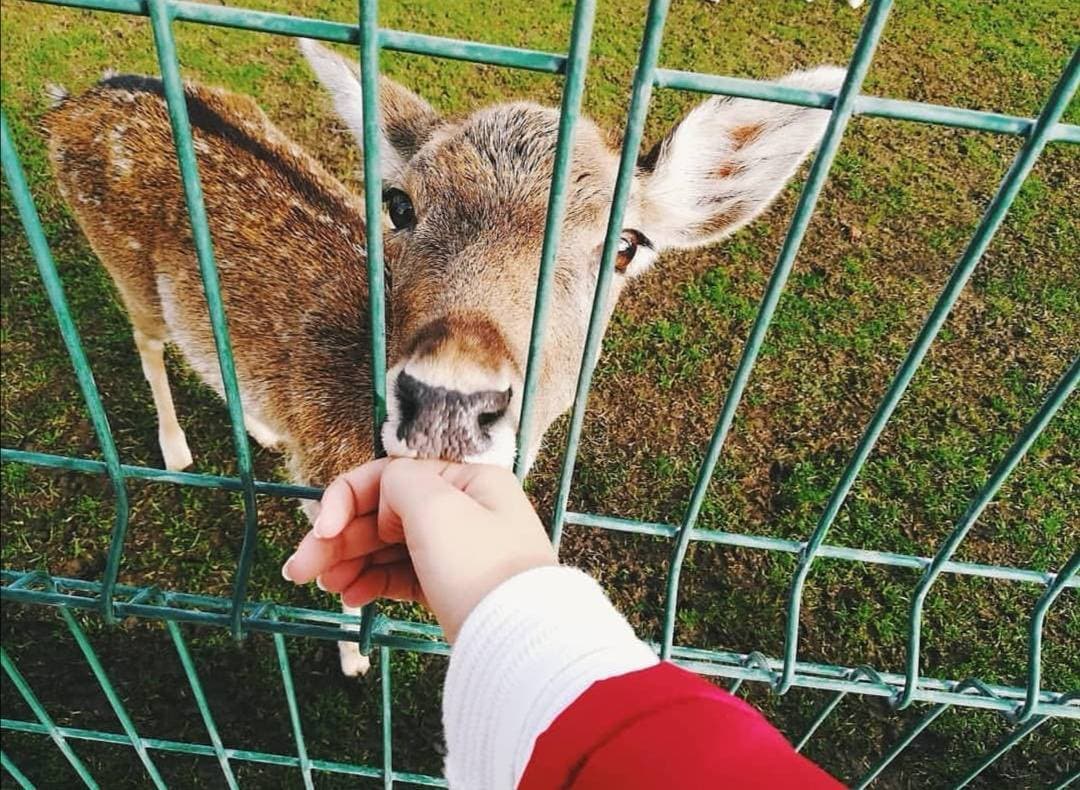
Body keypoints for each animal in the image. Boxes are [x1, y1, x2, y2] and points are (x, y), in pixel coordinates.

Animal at [44, 38, 842, 674]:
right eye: (399, 205)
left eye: (626, 245)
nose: (449, 400)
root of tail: (69, 101)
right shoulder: (326, 480)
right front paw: (356, 659)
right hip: (118, 258)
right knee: (149, 342)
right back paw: (176, 450)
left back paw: (263, 431)